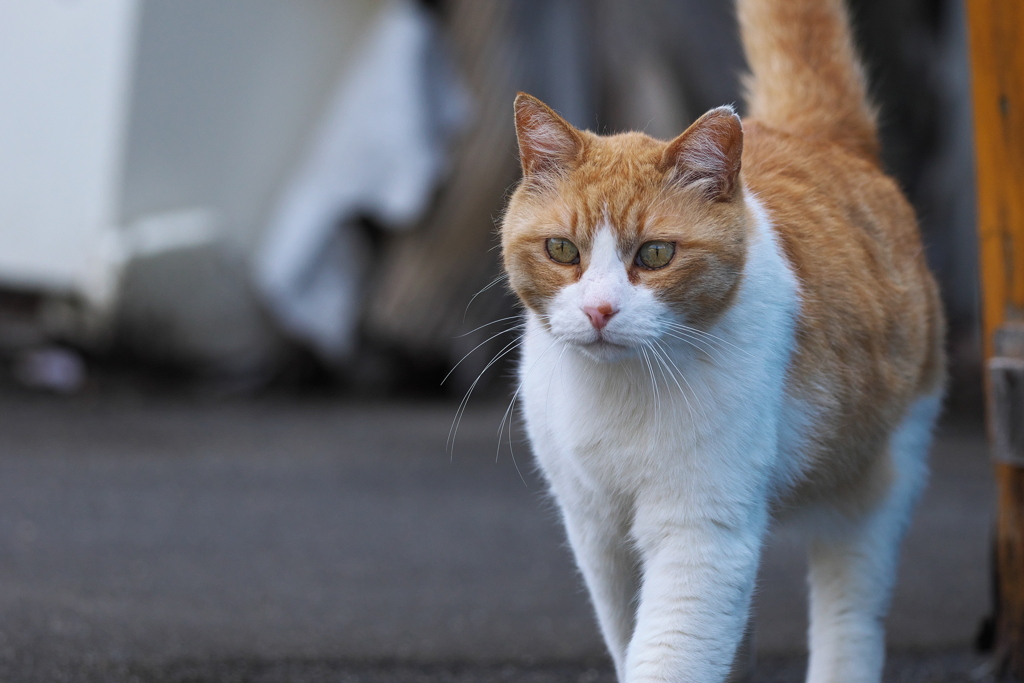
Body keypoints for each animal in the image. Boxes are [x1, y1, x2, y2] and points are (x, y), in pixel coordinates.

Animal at [495, 0, 942, 679]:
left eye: (656, 254)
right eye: (562, 250)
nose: (599, 310)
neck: (618, 392)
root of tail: (822, 138)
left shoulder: (701, 533)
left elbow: (669, 652)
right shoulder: (598, 534)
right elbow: (632, 638)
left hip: (878, 478)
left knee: (851, 611)